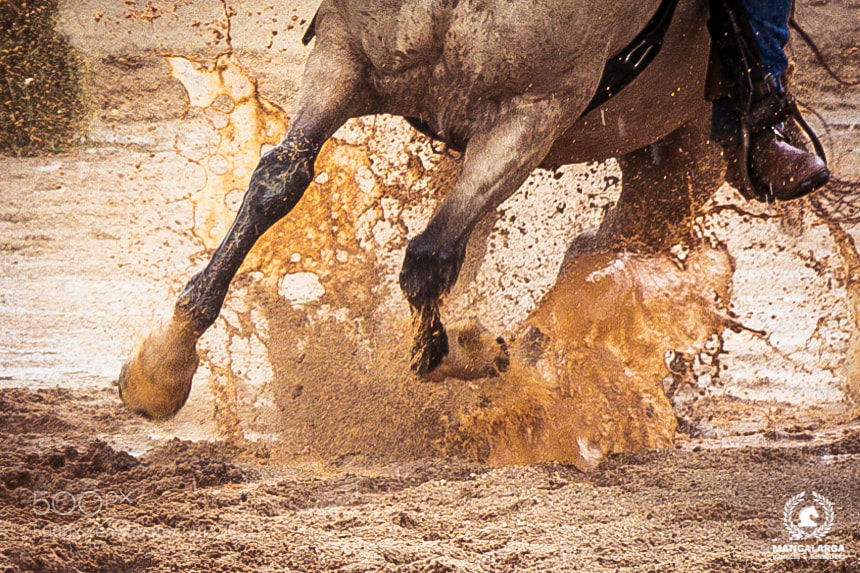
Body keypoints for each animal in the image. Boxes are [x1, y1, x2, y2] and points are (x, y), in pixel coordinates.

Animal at [118, 0, 719, 419]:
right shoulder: (344, 55)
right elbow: (277, 183)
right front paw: (163, 366)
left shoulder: (533, 111)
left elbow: (431, 257)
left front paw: (468, 351)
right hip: (667, 159)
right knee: (597, 249)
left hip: (692, 158)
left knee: (598, 255)